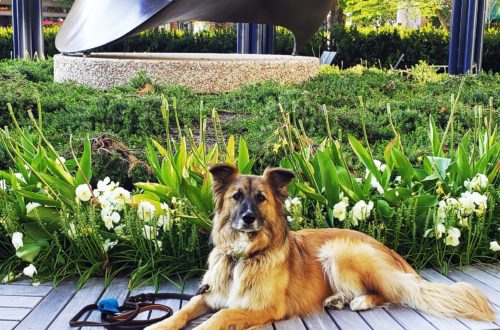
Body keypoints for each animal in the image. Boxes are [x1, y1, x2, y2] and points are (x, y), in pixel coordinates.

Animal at [146, 164, 494, 328]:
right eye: (236, 197)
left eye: (261, 198)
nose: (248, 218)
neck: (243, 256)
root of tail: (388, 249)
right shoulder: (208, 295)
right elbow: (184, 310)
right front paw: (160, 325)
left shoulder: (262, 307)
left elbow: (219, 318)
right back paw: (338, 298)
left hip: (338, 251)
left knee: (394, 293)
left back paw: (360, 301)